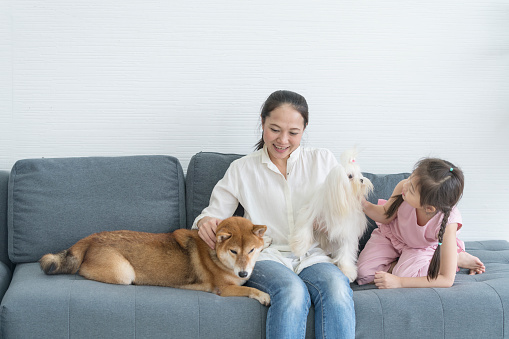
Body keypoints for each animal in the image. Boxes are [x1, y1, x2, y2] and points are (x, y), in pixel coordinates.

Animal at [39, 216, 270, 306]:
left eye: (251, 250)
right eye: (233, 251)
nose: (243, 273)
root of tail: (94, 236)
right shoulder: (224, 289)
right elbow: (249, 289)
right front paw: (263, 295)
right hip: (124, 273)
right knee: (82, 270)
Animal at [290, 150, 374, 282]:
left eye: (359, 174)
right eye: (350, 176)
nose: (361, 180)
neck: (339, 201)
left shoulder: (347, 231)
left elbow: (346, 252)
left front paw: (348, 270)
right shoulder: (310, 213)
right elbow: (304, 229)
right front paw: (299, 248)